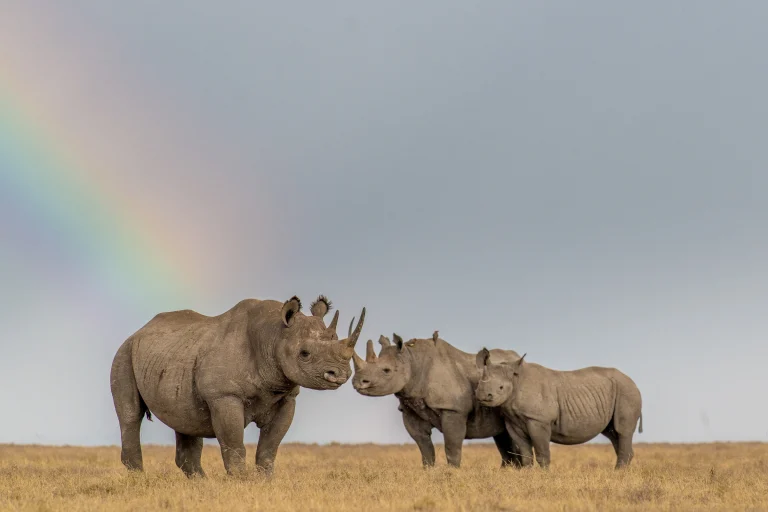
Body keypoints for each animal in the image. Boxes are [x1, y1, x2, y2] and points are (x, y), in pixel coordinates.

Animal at [110, 295, 365, 477]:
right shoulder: (224, 396)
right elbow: (234, 445)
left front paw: (265, 482)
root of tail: (139, 331)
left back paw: (202, 485)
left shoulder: (287, 397)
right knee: (131, 415)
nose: (340, 375)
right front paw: (241, 483)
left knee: (185, 419)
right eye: (304, 353)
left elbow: (269, 448)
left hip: (176, 353)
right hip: (124, 353)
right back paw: (140, 480)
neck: (274, 336)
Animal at [351, 331, 523, 468]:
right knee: (502, 436)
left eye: (386, 370)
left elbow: (452, 446)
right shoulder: (409, 410)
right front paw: (428, 471)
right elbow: (424, 447)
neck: (413, 361)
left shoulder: (453, 409)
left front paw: (452, 472)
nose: (358, 382)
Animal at [475, 348, 643, 469]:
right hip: (620, 391)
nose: (482, 395)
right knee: (613, 433)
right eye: (479, 383)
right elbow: (526, 454)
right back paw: (619, 473)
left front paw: (544, 477)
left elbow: (542, 453)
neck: (516, 381)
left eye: (501, 388)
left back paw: (619, 473)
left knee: (622, 431)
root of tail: (633, 382)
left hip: (627, 392)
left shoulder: (539, 420)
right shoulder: (512, 421)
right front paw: (527, 475)